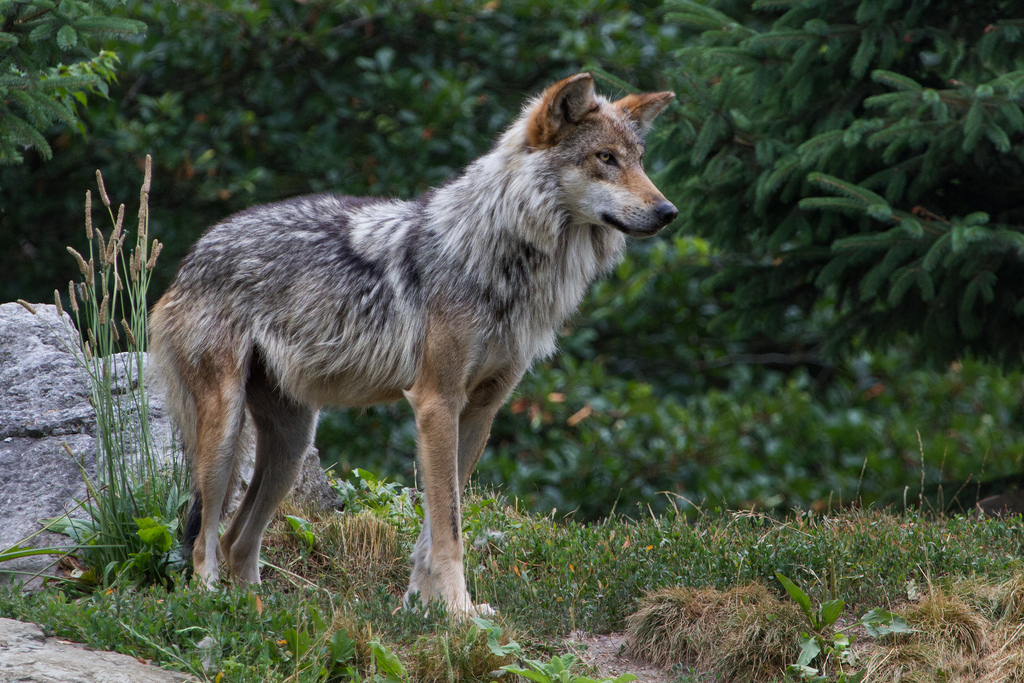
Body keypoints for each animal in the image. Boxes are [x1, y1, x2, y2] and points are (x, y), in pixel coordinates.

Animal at [151, 72, 675, 618]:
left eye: (638, 160)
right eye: (605, 158)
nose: (668, 211)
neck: (500, 260)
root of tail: (194, 253)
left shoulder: (480, 410)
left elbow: (437, 524)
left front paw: (426, 606)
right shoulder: (435, 402)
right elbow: (449, 528)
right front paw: (458, 613)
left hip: (292, 447)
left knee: (236, 538)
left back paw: (260, 609)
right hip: (226, 432)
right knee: (204, 537)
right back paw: (211, 604)